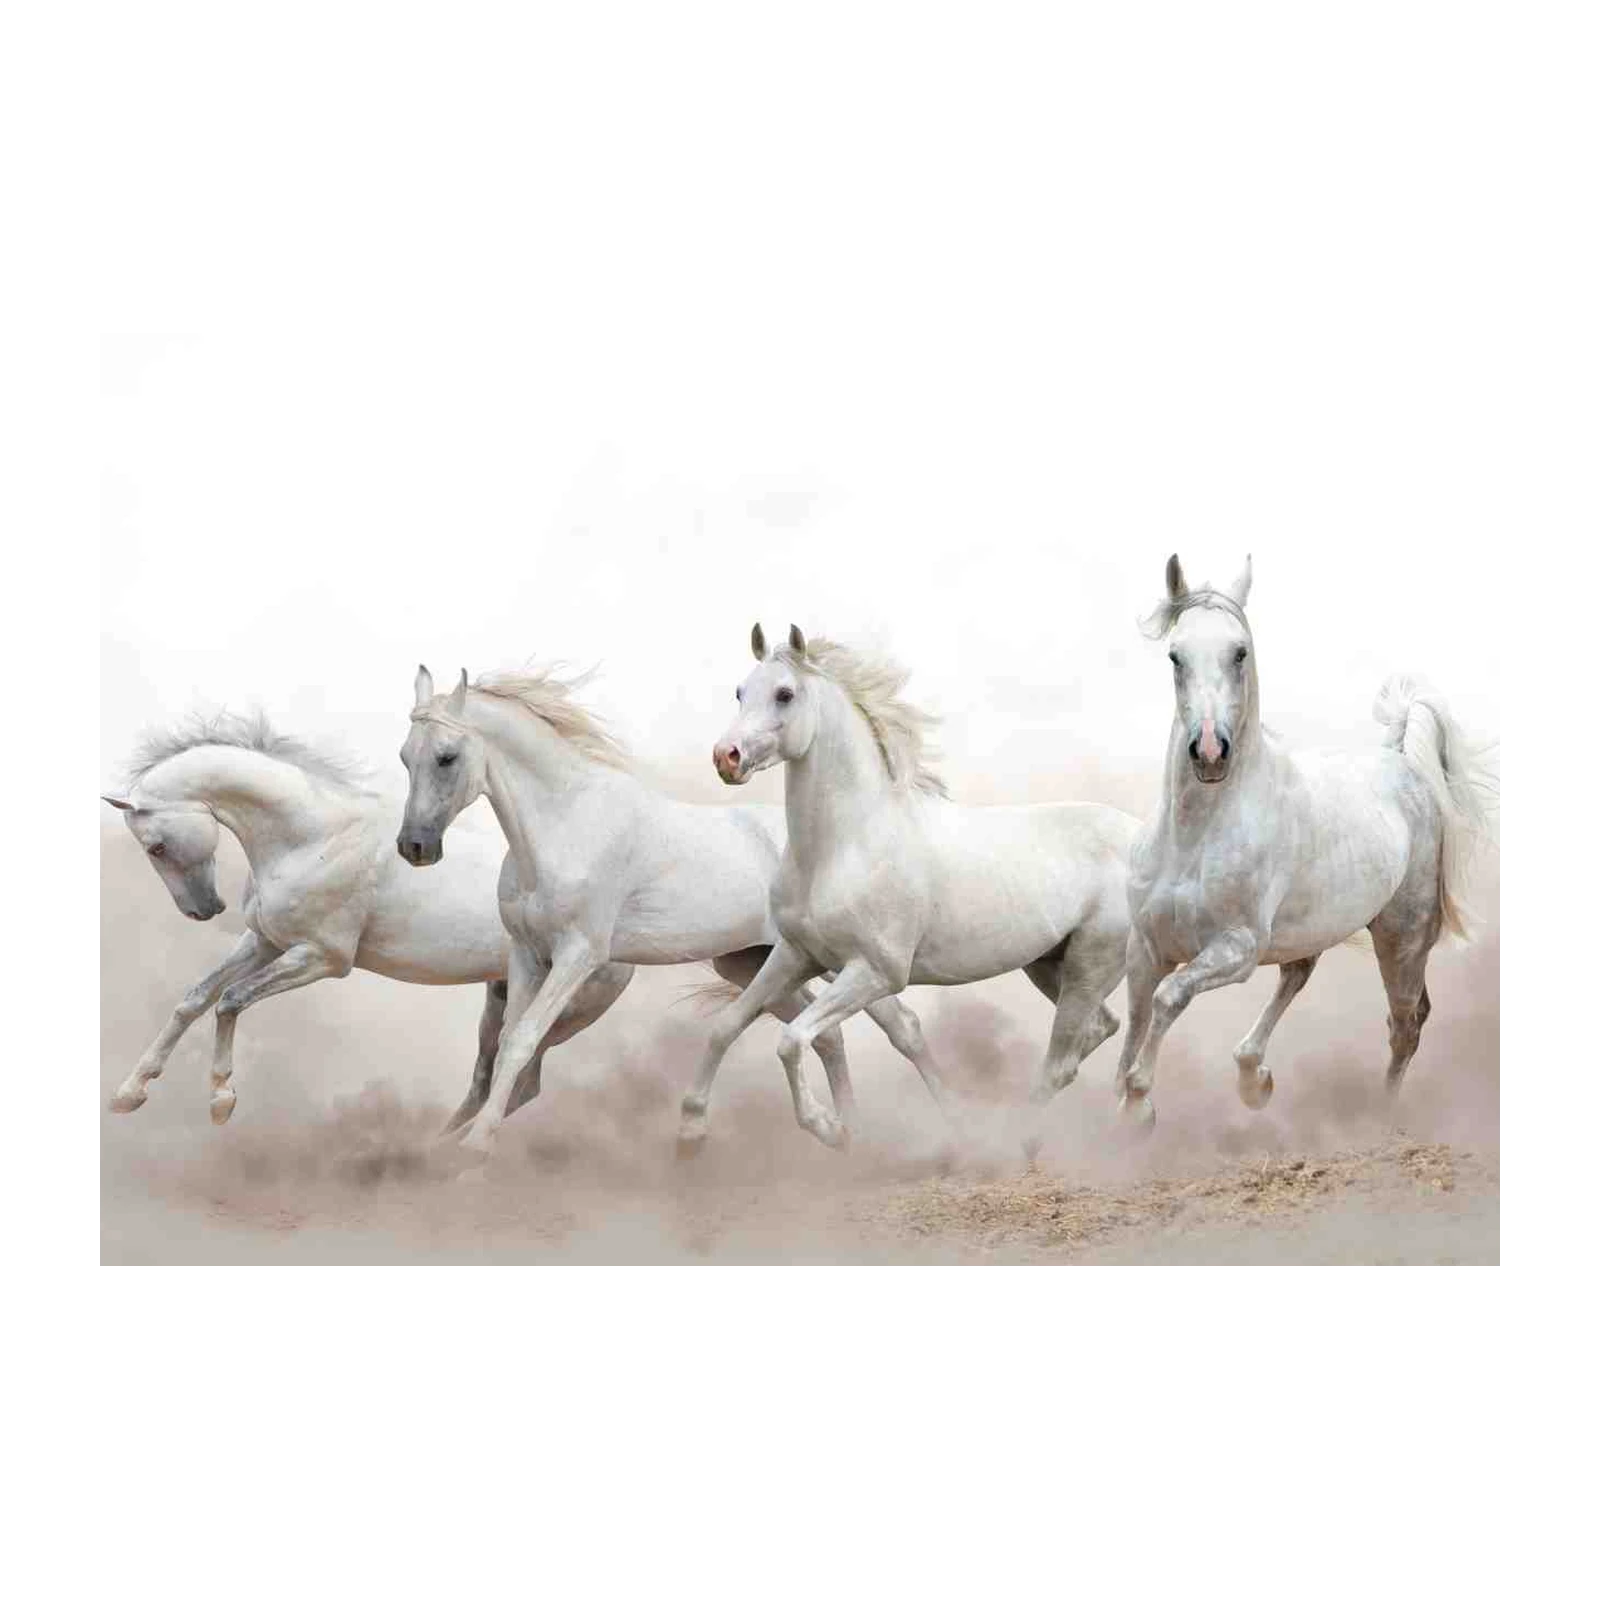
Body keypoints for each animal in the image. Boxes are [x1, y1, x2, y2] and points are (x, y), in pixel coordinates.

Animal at [101, 711, 633, 1128]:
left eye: (156, 846)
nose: (203, 909)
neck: (314, 837)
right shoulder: (265, 942)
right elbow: (193, 1000)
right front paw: (129, 1093)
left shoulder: (322, 958)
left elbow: (230, 1001)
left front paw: (221, 1101)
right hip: (503, 997)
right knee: (492, 1076)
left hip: (563, 1009)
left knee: (520, 1082)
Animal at [396, 664, 943, 1155]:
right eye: (404, 757)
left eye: (446, 757)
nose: (414, 847)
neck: (564, 827)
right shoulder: (527, 955)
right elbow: (509, 1039)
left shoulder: (578, 956)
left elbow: (522, 1040)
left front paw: (475, 1150)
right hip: (754, 963)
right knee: (828, 1036)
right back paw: (842, 1132)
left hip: (837, 960)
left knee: (902, 1025)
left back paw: (944, 1124)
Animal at [692, 623, 1141, 1150]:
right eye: (740, 691)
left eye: (785, 694)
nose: (727, 758)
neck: (845, 847)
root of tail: (1143, 838)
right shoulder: (795, 955)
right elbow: (726, 1027)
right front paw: (689, 1129)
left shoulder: (875, 973)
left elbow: (793, 1040)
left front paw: (830, 1128)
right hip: (1049, 965)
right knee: (1097, 1031)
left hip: (1091, 966)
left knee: (1060, 1064)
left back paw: (1012, 1145)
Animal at [1112, 554, 1493, 1125]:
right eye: (1176, 655)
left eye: (1239, 652)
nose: (1209, 751)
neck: (1193, 837)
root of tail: (1401, 761)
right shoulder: (1147, 946)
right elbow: (1136, 1018)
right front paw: (1119, 1104)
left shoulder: (1238, 948)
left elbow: (1168, 998)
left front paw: (1139, 1104)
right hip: (1314, 927)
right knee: (1300, 973)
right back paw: (1254, 1077)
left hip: (1401, 937)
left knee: (1406, 1022)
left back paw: (1380, 1115)